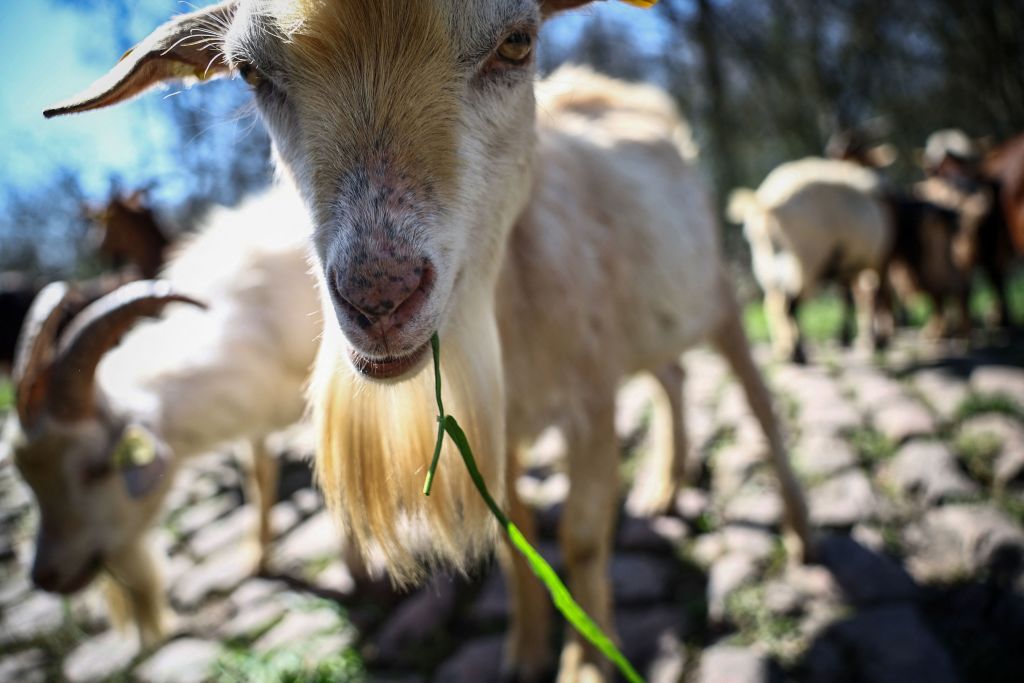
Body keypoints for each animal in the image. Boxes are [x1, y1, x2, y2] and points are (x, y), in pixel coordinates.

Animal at [1, 187, 320, 646]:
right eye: (26, 478)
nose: (46, 577)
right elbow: (258, 477)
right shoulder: (256, 417)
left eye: (96, 469)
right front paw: (258, 559)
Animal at [45, 2, 813, 679]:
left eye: (516, 42)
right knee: (672, 378)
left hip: (719, 295)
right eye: (251, 72)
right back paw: (664, 486)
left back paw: (801, 533)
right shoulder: (500, 429)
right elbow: (514, 538)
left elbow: (584, 541)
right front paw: (524, 651)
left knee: (759, 404)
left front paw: (587, 664)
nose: (378, 296)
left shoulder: (590, 406)